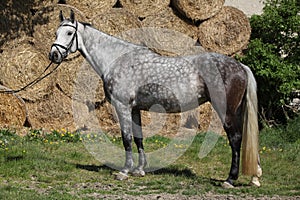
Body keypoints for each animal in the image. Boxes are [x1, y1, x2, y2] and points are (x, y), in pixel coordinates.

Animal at [49, 10, 262, 188]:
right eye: (56, 32)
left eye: (69, 33)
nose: (54, 55)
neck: (116, 59)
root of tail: (240, 66)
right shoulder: (135, 108)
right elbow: (138, 137)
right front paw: (139, 169)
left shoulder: (122, 106)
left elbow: (126, 138)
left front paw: (124, 171)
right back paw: (254, 176)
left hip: (226, 111)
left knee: (235, 139)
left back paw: (230, 180)